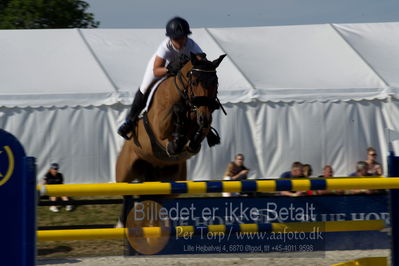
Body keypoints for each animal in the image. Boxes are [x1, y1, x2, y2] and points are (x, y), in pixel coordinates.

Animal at [116, 53, 228, 184]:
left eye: (215, 82)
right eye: (194, 82)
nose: (203, 118)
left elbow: (197, 138)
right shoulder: (160, 127)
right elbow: (177, 111)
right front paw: (176, 141)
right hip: (124, 173)